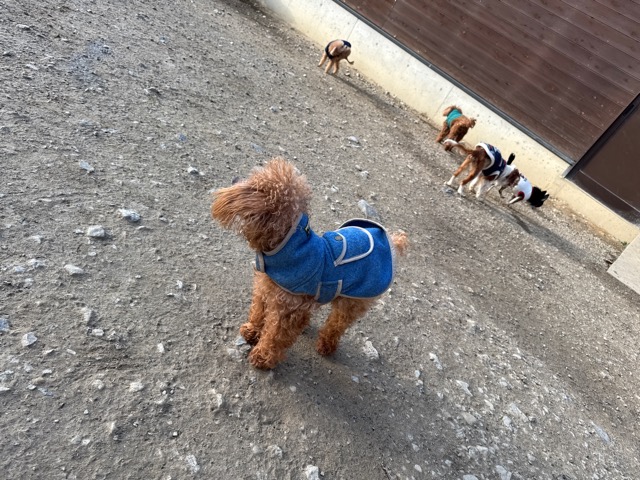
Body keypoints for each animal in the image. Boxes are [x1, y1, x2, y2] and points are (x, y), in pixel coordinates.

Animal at [211, 157, 408, 369]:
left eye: (255, 184)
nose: (234, 178)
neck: (288, 245)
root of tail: (392, 242)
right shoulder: (264, 290)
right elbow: (258, 312)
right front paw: (252, 331)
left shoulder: (286, 309)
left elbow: (274, 336)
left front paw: (263, 357)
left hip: (353, 302)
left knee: (336, 325)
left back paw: (326, 345)